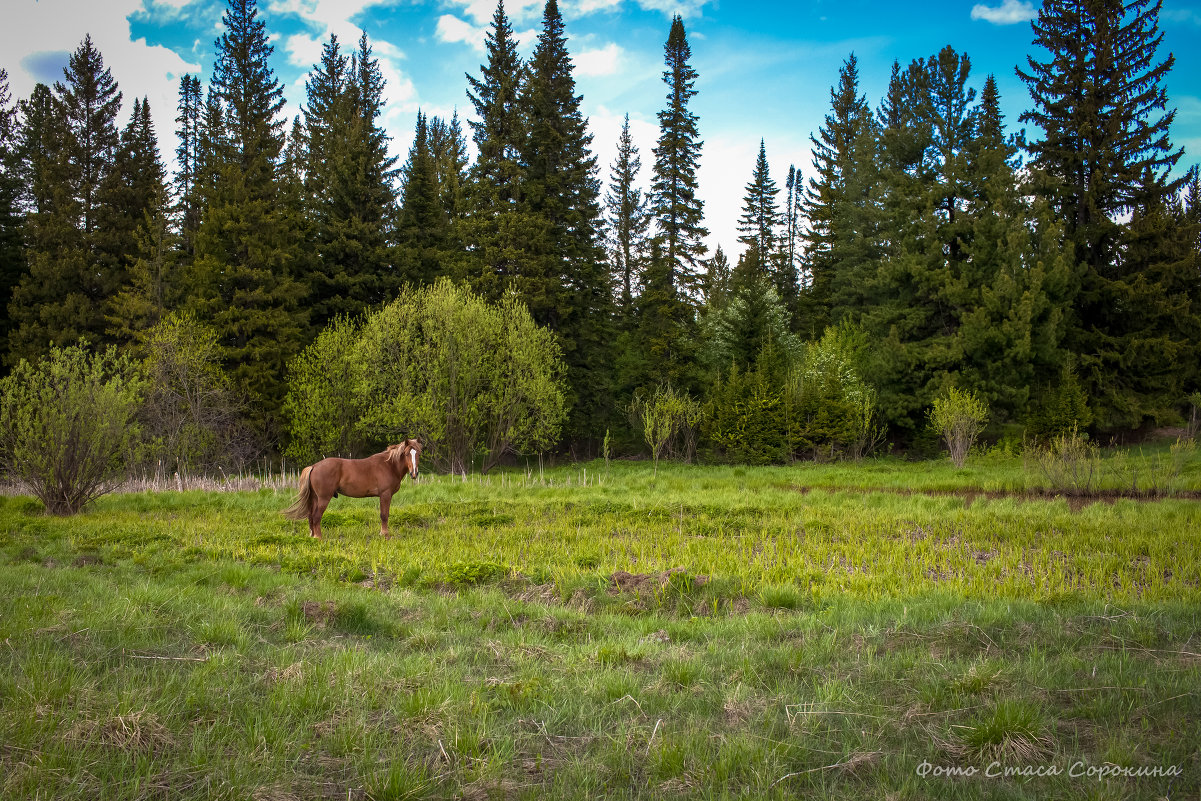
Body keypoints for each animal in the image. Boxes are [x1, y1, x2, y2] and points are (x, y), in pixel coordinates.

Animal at [281, 441, 422, 542]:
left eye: (418, 454)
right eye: (407, 454)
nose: (414, 473)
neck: (389, 465)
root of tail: (314, 466)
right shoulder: (385, 495)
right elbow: (384, 515)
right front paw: (385, 535)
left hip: (315, 498)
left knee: (311, 516)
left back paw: (312, 536)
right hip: (323, 498)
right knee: (316, 516)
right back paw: (319, 538)